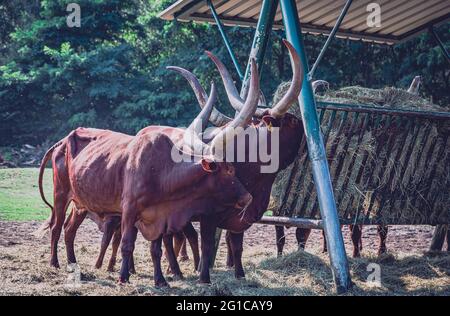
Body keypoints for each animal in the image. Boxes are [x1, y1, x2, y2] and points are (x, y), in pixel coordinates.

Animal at [37, 68, 264, 286]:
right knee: (56, 227)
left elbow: (156, 249)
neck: (162, 173)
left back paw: (73, 263)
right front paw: (123, 277)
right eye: (229, 170)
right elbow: (127, 244)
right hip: (61, 194)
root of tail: (63, 140)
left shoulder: (158, 217)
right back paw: (54, 263)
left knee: (69, 230)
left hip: (80, 203)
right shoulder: (129, 210)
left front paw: (160, 280)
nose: (248, 197)